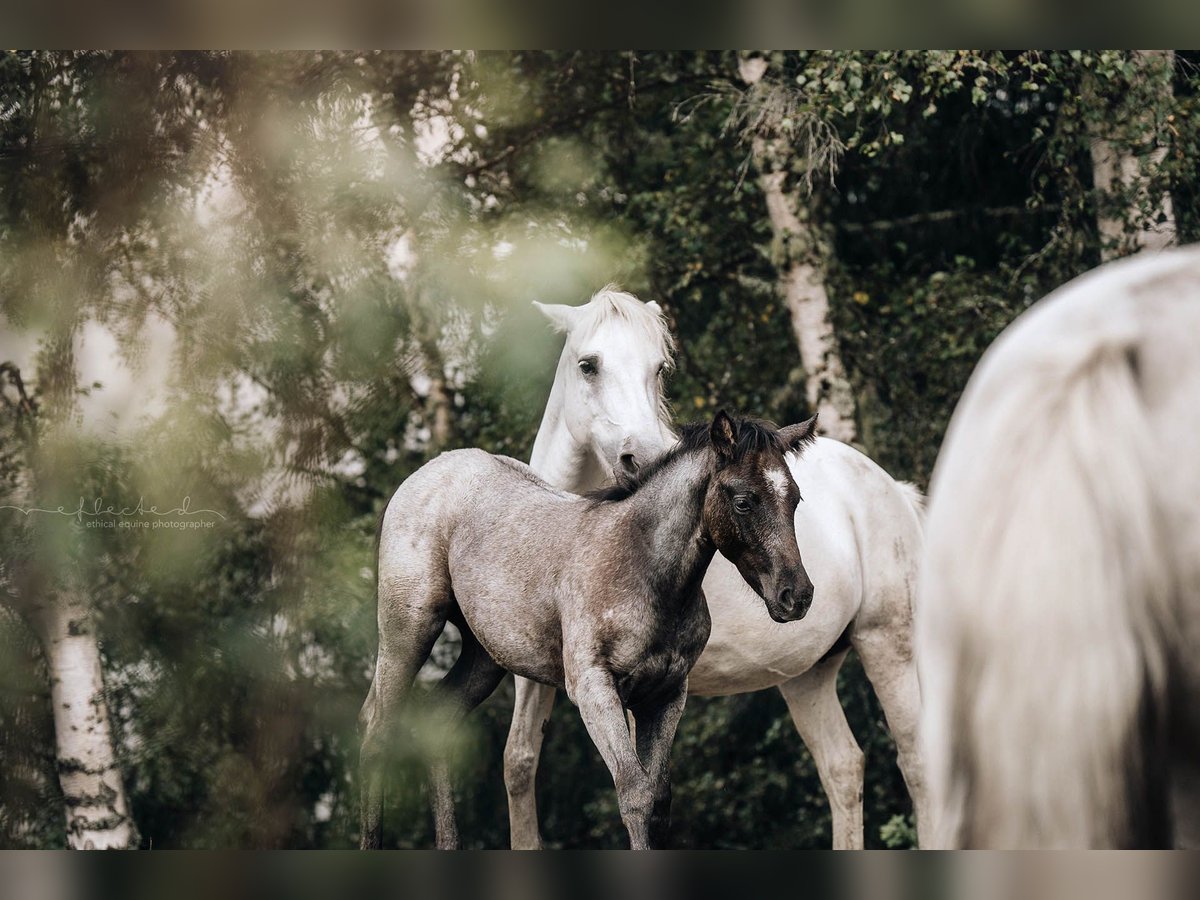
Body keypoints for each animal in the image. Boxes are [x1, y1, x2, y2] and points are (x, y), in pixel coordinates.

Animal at [360, 412, 820, 849]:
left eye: (796, 499)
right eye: (743, 502)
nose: (796, 595)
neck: (644, 569)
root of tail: (426, 474)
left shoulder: (666, 694)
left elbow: (660, 798)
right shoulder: (593, 687)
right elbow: (635, 792)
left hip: (484, 655)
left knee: (436, 722)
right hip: (410, 629)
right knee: (375, 732)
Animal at [506, 285, 926, 849]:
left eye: (659, 367)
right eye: (588, 365)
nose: (643, 459)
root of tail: (893, 489)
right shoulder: (537, 677)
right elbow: (519, 764)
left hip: (888, 644)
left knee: (916, 763)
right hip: (808, 673)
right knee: (843, 767)